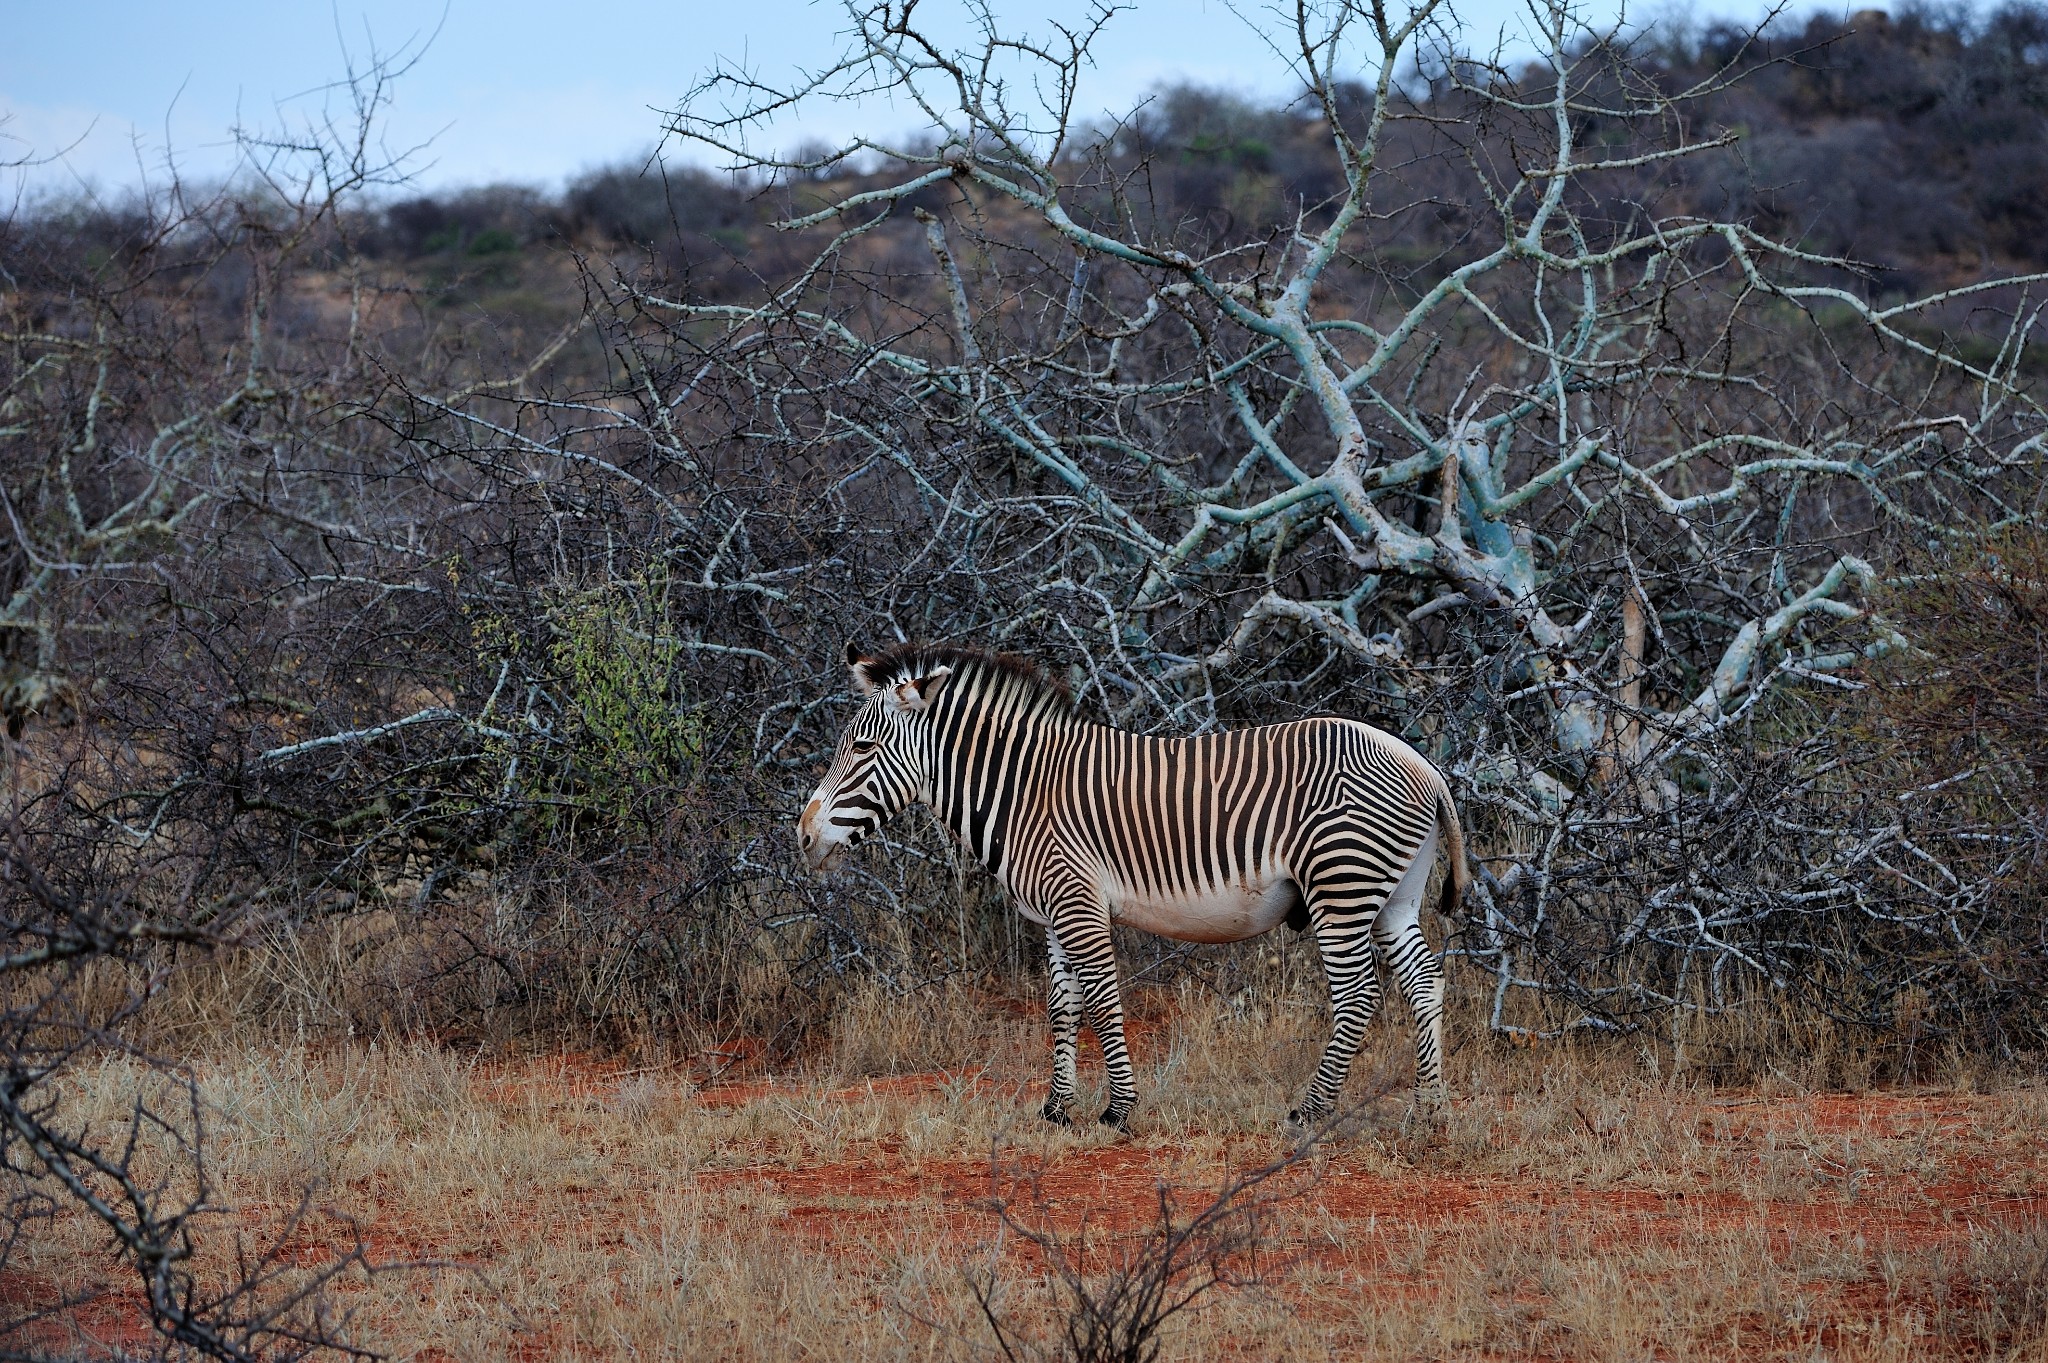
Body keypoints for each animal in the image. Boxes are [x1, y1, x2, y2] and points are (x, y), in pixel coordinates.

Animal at [790, 642, 1466, 1129]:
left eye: (862, 749)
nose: (803, 836)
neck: (1025, 792)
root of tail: (1423, 764)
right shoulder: (1052, 914)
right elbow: (1062, 1007)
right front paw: (1057, 1109)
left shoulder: (1077, 900)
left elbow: (1102, 1000)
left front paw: (1118, 1110)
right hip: (1393, 896)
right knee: (1425, 982)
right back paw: (1428, 1109)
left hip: (1341, 888)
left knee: (1359, 996)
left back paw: (1311, 1110)